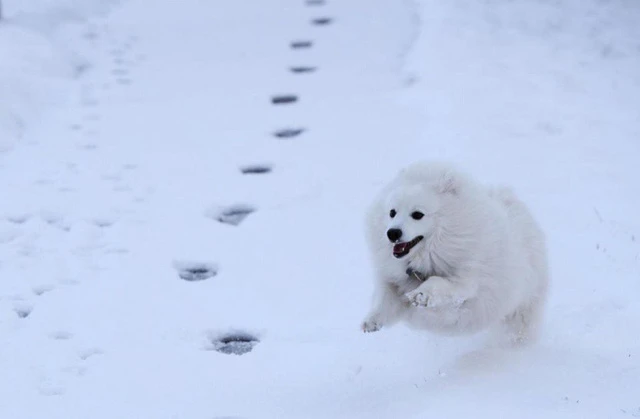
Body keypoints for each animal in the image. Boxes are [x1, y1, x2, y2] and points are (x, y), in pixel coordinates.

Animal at [362, 161, 548, 344]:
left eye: (417, 214)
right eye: (392, 212)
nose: (392, 233)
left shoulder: (467, 283)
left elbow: (438, 282)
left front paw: (421, 295)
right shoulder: (393, 280)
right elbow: (384, 299)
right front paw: (371, 321)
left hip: (522, 306)